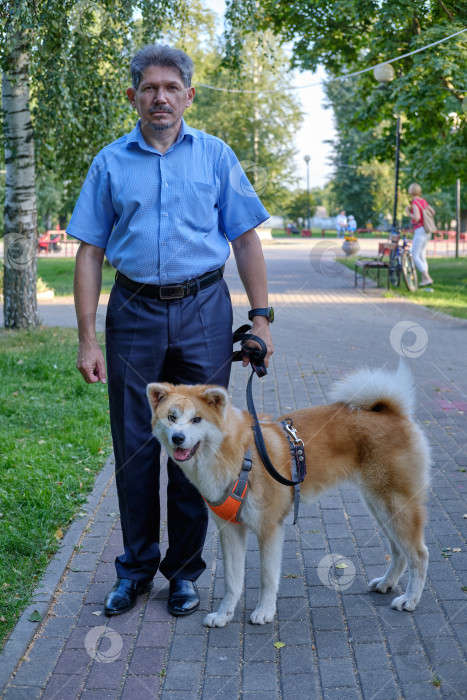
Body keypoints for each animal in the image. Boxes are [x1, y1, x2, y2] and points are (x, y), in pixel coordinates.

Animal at [148, 366, 430, 628]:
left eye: (197, 419)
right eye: (171, 417)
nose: (178, 438)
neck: (239, 456)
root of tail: (390, 411)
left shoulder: (269, 529)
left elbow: (267, 578)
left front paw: (264, 611)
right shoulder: (230, 530)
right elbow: (232, 582)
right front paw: (224, 615)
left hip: (394, 503)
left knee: (419, 554)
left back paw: (410, 599)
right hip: (380, 506)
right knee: (399, 551)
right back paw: (386, 583)